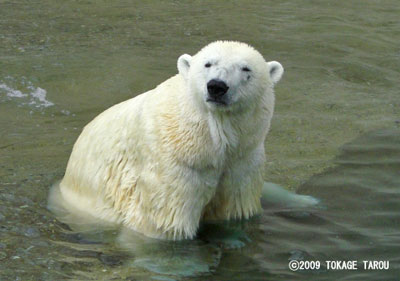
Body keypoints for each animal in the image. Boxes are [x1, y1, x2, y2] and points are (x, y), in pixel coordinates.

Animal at [48, 40, 316, 240]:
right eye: (208, 63)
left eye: (246, 69)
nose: (217, 86)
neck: (213, 141)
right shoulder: (174, 163)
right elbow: (164, 225)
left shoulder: (243, 160)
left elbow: (235, 213)